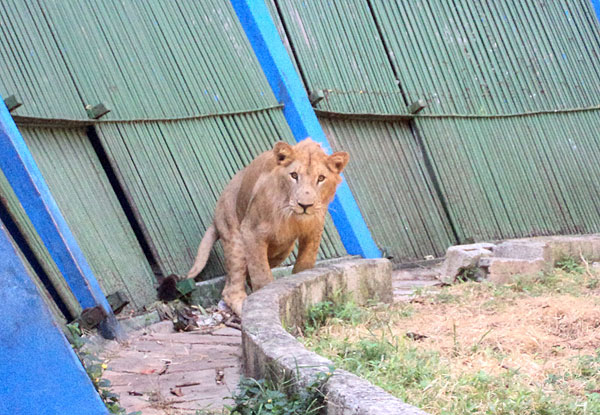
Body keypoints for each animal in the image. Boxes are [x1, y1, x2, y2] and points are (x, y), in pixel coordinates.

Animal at [185, 138, 350, 316]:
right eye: (294, 175)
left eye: (321, 178)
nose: (305, 205)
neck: (292, 218)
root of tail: (215, 217)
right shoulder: (251, 232)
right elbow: (262, 276)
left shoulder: (313, 231)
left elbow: (305, 265)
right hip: (235, 238)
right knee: (231, 289)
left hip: (283, 249)